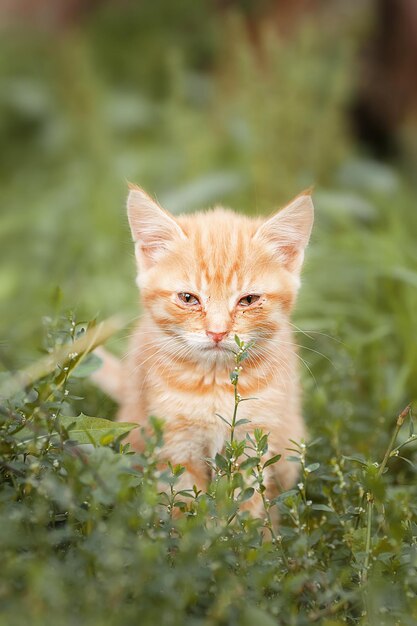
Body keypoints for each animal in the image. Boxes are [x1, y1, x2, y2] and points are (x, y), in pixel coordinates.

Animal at [95, 184, 312, 512]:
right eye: (188, 298)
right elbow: (185, 504)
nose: (217, 332)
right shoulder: (176, 446)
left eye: (248, 300)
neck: (216, 383)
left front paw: (246, 527)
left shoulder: (254, 441)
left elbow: (247, 503)